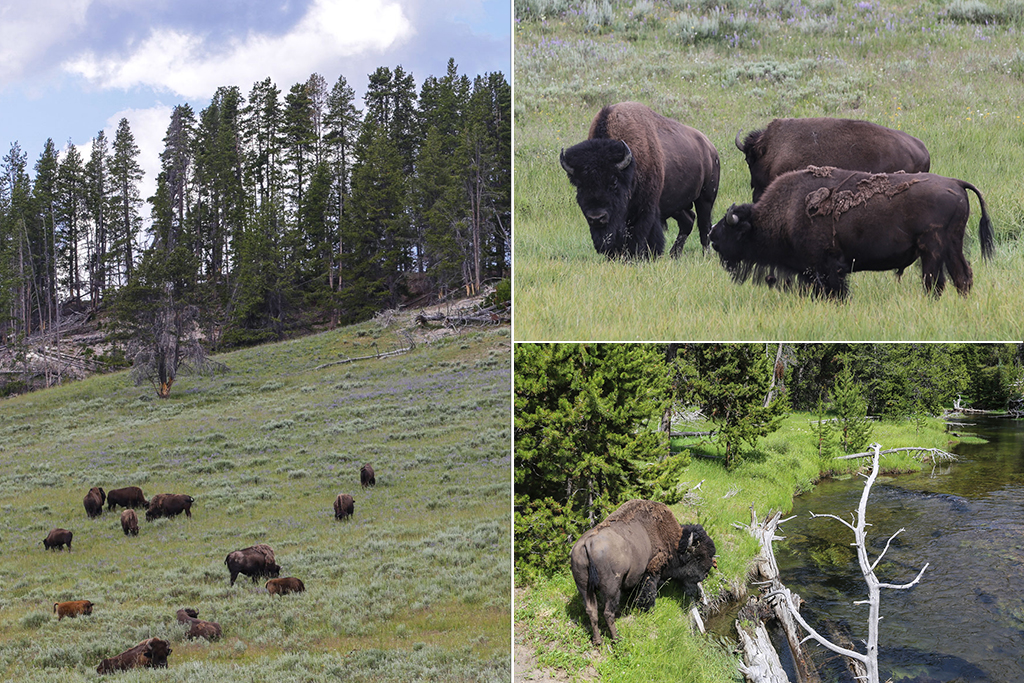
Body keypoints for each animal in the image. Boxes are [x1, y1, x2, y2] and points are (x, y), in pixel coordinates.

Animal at [561, 101, 720, 259]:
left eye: (614, 182)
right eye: (580, 185)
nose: (596, 217)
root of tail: (710, 148)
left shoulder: (645, 209)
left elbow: (641, 233)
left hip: (705, 198)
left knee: (704, 226)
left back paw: (705, 254)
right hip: (676, 204)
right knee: (688, 220)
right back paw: (674, 254)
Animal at [569, 499, 720, 643]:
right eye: (698, 557)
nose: (705, 574)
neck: (673, 543)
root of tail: (588, 543)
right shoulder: (652, 571)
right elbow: (649, 592)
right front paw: (648, 610)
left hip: (584, 588)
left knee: (591, 611)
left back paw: (597, 641)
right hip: (611, 589)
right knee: (607, 613)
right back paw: (616, 639)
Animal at [712, 165, 991, 299]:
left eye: (730, 228)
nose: (711, 236)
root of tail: (956, 183)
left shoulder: (827, 267)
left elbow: (836, 292)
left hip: (932, 248)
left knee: (934, 282)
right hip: (951, 245)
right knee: (962, 277)